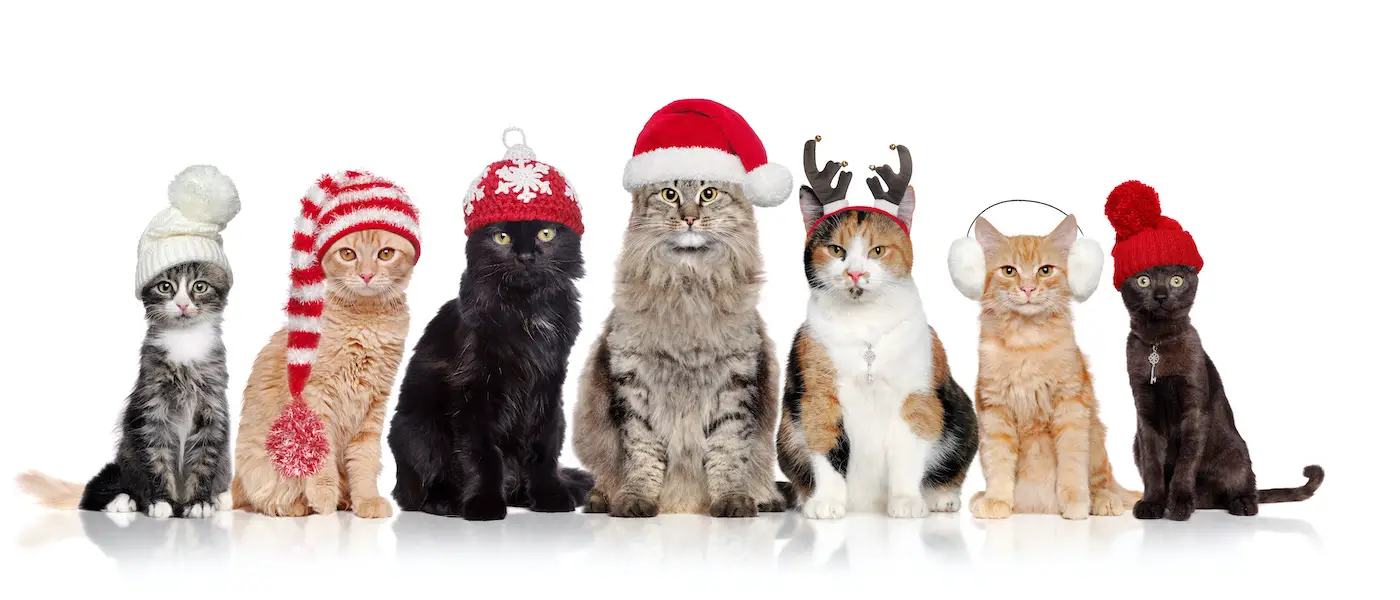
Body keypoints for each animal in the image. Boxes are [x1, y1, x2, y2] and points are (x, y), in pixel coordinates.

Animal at [386, 218, 593, 520]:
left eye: (546, 233)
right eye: (502, 238)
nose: (526, 256)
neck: (527, 312)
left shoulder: (548, 386)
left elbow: (544, 447)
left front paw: (551, 496)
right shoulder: (474, 392)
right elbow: (481, 454)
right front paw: (484, 504)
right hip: (417, 428)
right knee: (419, 487)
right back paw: (446, 502)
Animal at [571, 97, 795, 514]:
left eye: (708, 194)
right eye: (669, 195)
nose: (689, 218)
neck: (688, 286)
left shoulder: (735, 380)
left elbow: (728, 450)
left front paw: (733, 501)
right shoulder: (634, 380)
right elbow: (642, 453)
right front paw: (635, 500)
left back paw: (763, 498)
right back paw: (601, 498)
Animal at [772, 141, 980, 520]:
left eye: (878, 250)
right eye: (836, 250)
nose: (855, 273)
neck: (864, 327)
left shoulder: (916, 399)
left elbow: (908, 456)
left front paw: (906, 502)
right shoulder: (818, 399)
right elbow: (826, 451)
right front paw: (827, 503)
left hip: (963, 414)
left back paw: (941, 498)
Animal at [968, 216, 1142, 520]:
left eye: (1045, 270)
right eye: (1009, 271)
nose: (1027, 289)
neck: (1026, 343)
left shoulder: (1071, 404)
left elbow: (1071, 464)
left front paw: (1075, 503)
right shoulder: (994, 408)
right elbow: (998, 463)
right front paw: (996, 500)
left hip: (1097, 439)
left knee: (1103, 482)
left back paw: (1103, 501)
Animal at [1103, 179, 1321, 520]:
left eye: (1177, 280)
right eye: (1144, 280)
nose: (1162, 295)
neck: (1159, 344)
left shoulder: (1195, 410)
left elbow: (1185, 463)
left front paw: (1179, 504)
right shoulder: (1145, 413)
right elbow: (1153, 466)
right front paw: (1153, 503)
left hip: (1236, 450)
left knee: (1247, 485)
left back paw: (1237, 503)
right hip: (1135, 442)